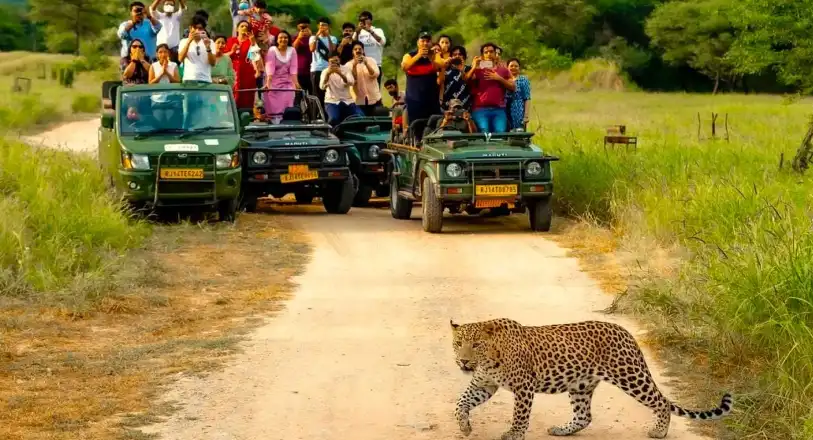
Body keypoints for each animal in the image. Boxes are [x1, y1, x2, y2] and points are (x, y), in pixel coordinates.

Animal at [450, 318, 732, 440]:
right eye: (458, 344)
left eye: (476, 345)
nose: (463, 361)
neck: (490, 359)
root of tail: (626, 332)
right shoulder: (484, 384)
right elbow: (460, 403)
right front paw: (464, 426)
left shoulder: (524, 387)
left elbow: (520, 414)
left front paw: (514, 434)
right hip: (581, 385)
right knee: (584, 416)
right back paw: (562, 430)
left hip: (630, 376)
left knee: (661, 402)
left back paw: (659, 431)